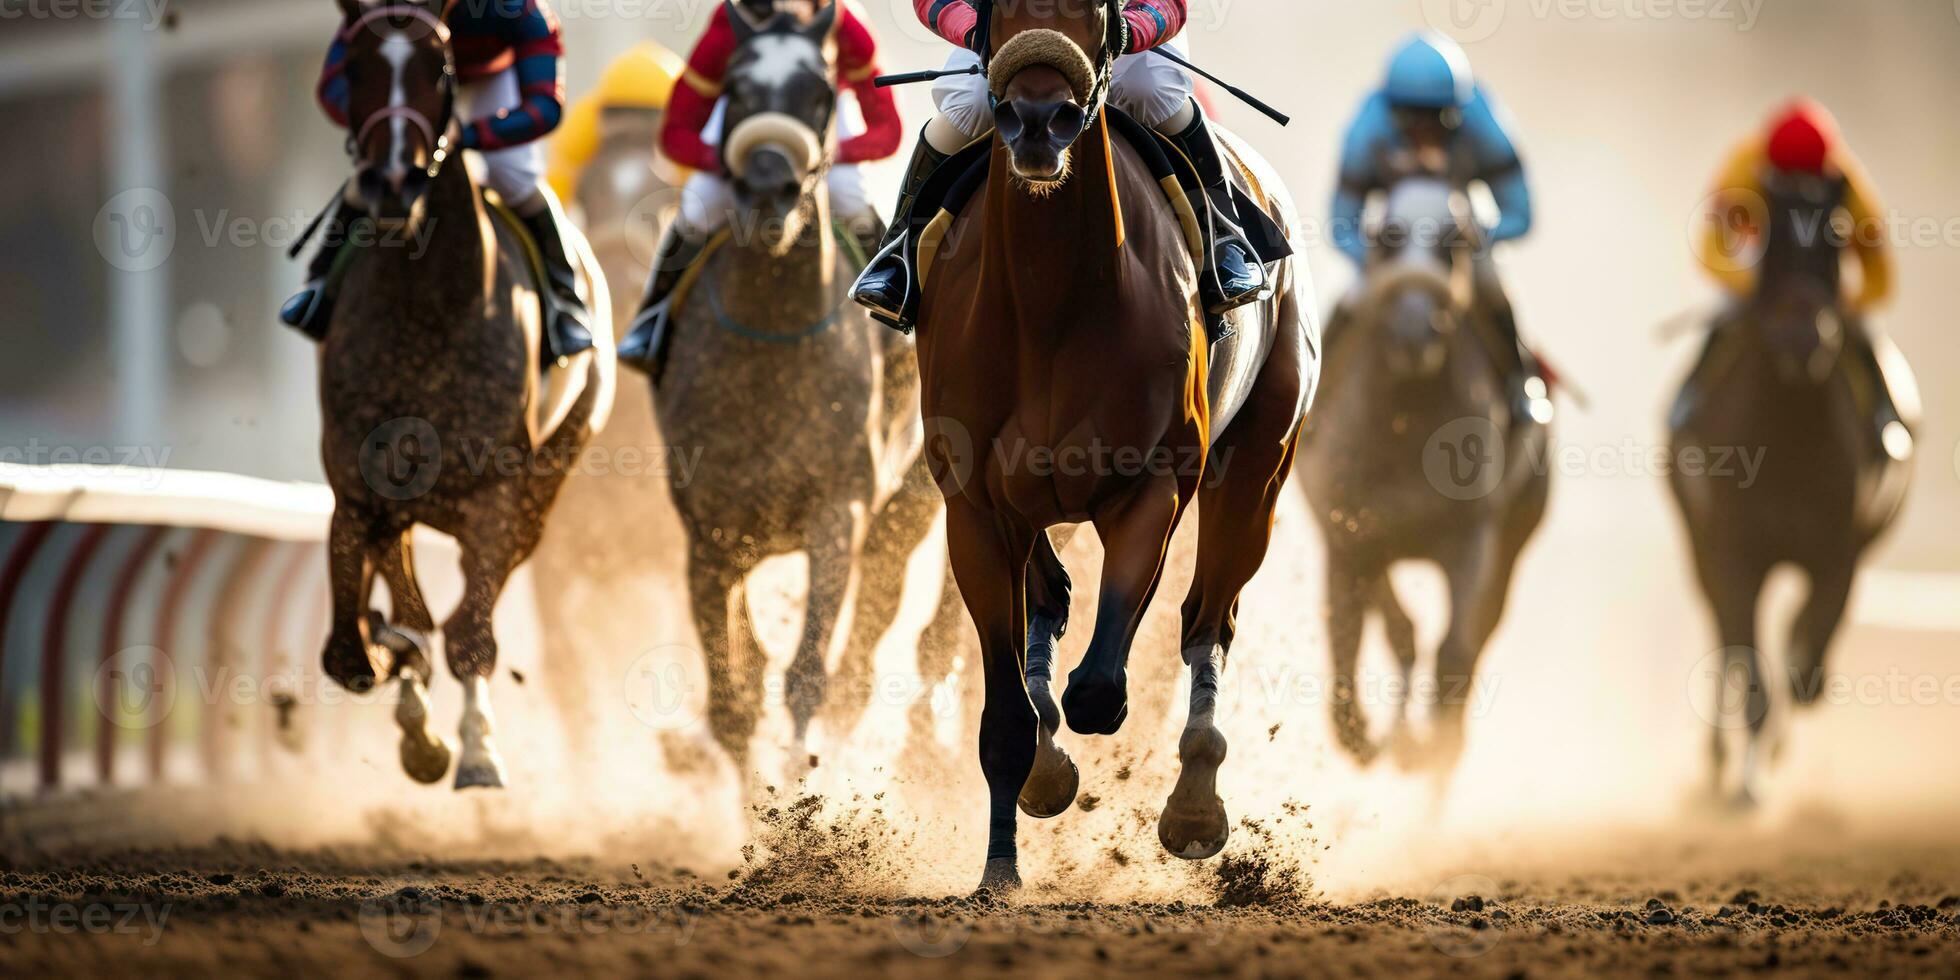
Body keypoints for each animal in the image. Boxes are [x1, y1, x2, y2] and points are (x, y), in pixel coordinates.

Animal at [315, 0, 611, 784]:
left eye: (438, 68)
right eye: (358, 67)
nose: (393, 181)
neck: (425, 309)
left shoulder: (496, 490)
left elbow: (468, 632)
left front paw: (474, 748)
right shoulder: (357, 482)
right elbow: (350, 651)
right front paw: (398, 665)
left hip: (548, 477)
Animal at [917, 1, 1317, 889]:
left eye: (1099, 14)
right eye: (991, 12)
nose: (1038, 119)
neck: (1049, 304)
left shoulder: (1153, 486)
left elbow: (1101, 688)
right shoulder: (975, 506)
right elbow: (1007, 712)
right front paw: (1000, 869)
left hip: (1259, 465)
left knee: (1207, 619)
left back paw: (1195, 804)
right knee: (1052, 598)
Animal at [1301, 178, 1544, 780]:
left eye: (1454, 241)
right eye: (1385, 238)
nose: (1415, 333)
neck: (1403, 427)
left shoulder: (1471, 537)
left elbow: (1453, 652)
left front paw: (1429, 745)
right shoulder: (1350, 533)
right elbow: (1355, 633)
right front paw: (1365, 737)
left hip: (1513, 541)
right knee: (1398, 628)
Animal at [1669, 170, 1912, 811]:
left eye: (1838, 236)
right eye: (1770, 233)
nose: (1805, 339)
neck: (1787, 442)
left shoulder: (1839, 553)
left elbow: (1805, 657)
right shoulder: (1732, 551)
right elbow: (1745, 657)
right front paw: (1745, 781)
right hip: (1698, 545)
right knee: (1726, 639)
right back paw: (1722, 759)